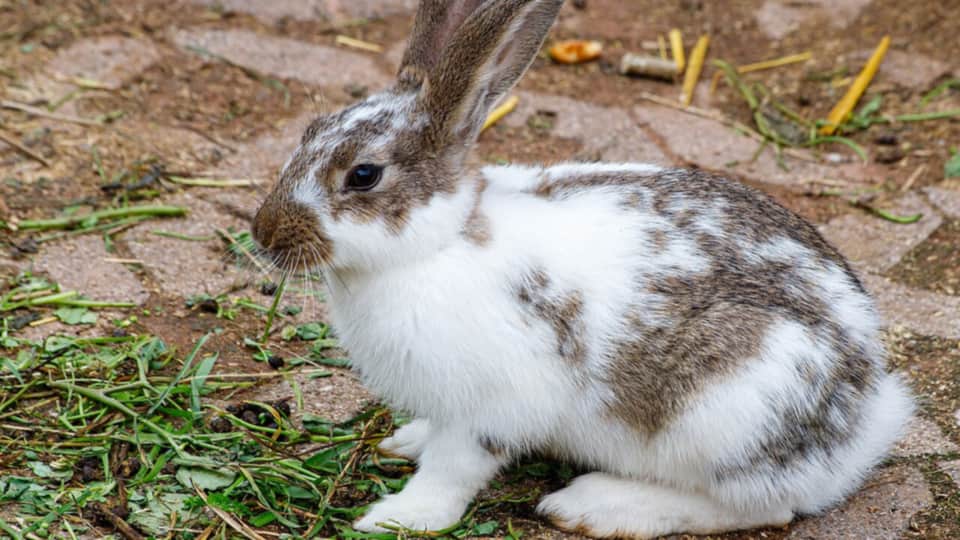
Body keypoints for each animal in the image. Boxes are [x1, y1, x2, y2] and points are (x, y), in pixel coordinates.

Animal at [251, 0, 914, 537]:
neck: (435, 245)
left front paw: (400, 518)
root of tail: (862, 424)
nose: (263, 235)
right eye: (309, 131)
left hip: (731, 412)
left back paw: (595, 506)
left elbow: (452, 471)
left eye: (363, 175)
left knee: (764, 507)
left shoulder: (490, 406)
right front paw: (407, 440)